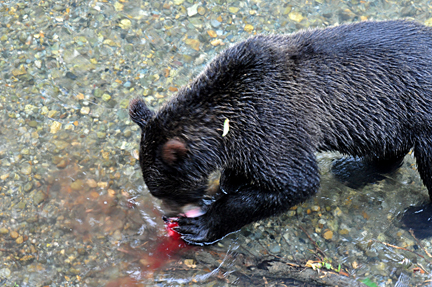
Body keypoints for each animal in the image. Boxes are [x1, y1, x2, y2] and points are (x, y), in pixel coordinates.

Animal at [130, 19, 432, 245]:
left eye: (169, 191)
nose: (167, 216)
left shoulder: (273, 123)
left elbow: (295, 182)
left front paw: (201, 225)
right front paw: (232, 180)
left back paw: (417, 218)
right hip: (388, 112)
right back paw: (354, 170)